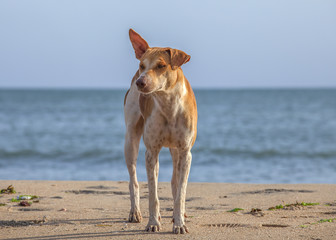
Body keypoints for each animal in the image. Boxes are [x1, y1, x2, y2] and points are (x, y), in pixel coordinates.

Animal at [123, 28, 197, 234]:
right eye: (142, 65)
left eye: (161, 65)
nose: (140, 82)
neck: (168, 103)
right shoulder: (151, 152)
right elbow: (153, 195)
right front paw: (153, 222)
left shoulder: (185, 152)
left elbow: (181, 192)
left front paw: (179, 223)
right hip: (131, 139)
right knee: (133, 180)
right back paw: (135, 212)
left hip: (175, 150)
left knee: (175, 181)